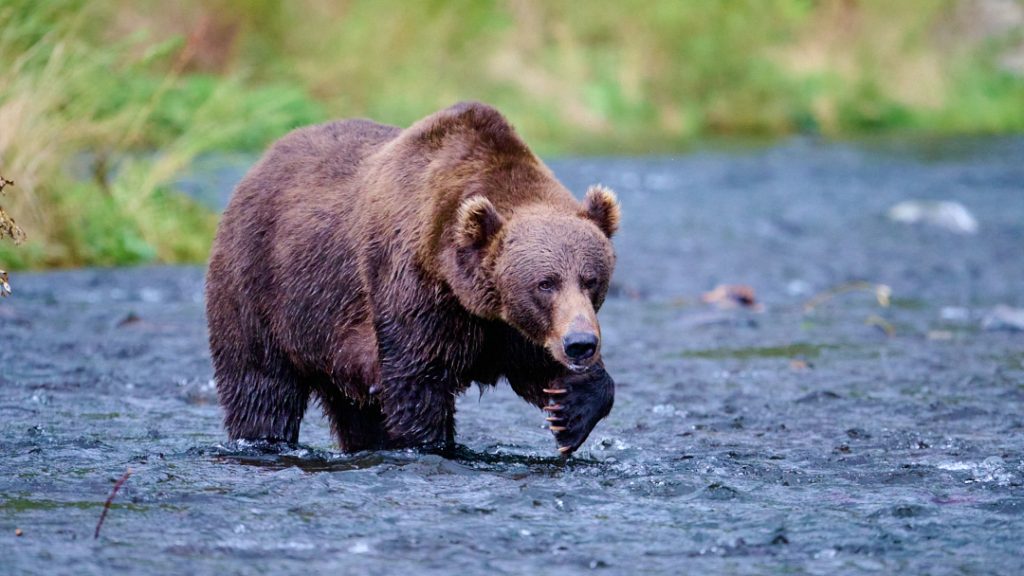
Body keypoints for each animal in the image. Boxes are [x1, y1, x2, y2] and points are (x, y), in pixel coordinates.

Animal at [205, 102, 619, 456]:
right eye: (544, 283)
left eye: (591, 279)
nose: (580, 343)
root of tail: (258, 165)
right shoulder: (414, 287)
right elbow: (417, 383)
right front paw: (430, 443)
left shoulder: (505, 325)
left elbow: (538, 367)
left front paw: (568, 412)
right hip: (264, 289)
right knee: (261, 387)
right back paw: (263, 437)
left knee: (357, 410)